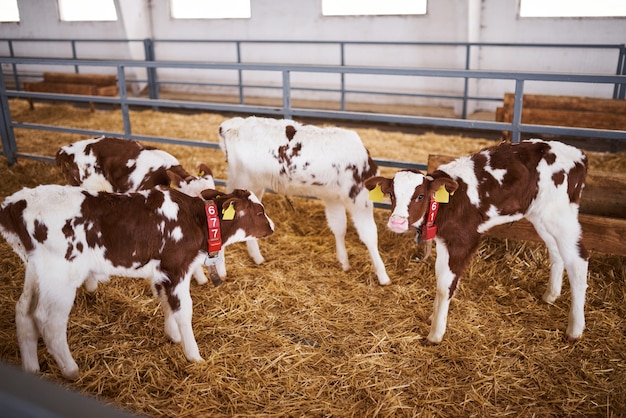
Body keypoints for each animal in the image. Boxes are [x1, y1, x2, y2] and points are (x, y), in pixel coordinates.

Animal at [0, 185, 272, 378]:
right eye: (259, 212)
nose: (272, 226)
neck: (195, 221)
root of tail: (16, 202)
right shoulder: (176, 268)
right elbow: (183, 309)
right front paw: (194, 355)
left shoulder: (162, 271)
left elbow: (166, 301)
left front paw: (172, 335)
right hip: (61, 276)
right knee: (49, 321)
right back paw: (70, 369)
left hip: (36, 270)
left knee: (23, 311)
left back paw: (31, 368)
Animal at [217, 116, 388, 286]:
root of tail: (234, 124)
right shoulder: (358, 198)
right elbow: (369, 234)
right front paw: (383, 275)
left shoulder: (332, 198)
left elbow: (339, 227)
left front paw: (344, 262)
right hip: (244, 182)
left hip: (250, 186)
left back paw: (256, 258)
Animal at [364, 140, 588, 342]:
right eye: (391, 194)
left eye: (420, 196)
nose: (397, 222)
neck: (448, 202)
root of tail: (579, 155)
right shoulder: (445, 240)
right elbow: (441, 280)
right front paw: (434, 315)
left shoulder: (463, 240)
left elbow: (445, 285)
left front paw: (436, 333)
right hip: (541, 216)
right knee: (557, 252)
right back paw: (551, 295)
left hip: (560, 215)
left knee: (578, 261)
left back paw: (575, 330)